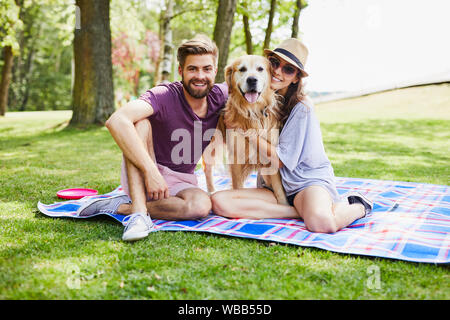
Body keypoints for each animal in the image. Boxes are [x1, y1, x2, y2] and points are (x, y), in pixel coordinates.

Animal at [204, 55, 288, 205]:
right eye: (242, 69)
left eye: (260, 69)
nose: (252, 80)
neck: (252, 111)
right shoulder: (236, 157)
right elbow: (238, 187)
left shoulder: (271, 154)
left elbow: (279, 189)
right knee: (207, 169)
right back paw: (211, 191)